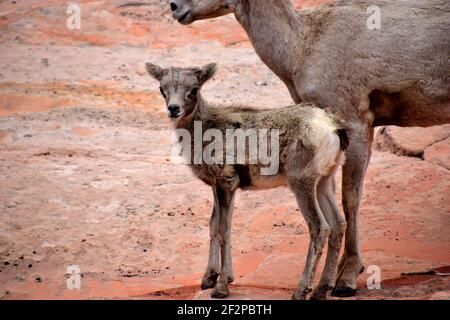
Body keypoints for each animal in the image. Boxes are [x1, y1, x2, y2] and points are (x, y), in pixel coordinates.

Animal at [146, 62, 350, 300]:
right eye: (162, 88)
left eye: (194, 89)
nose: (173, 108)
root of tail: (334, 128)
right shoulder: (219, 186)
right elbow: (214, 225)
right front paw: (208, 278)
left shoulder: (226, 182)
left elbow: (224, 229)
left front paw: (221, 286)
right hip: (324, 182)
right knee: (338, 225)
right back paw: (321, 290)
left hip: (303, 183)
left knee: (320, 228)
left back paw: (301, 290)